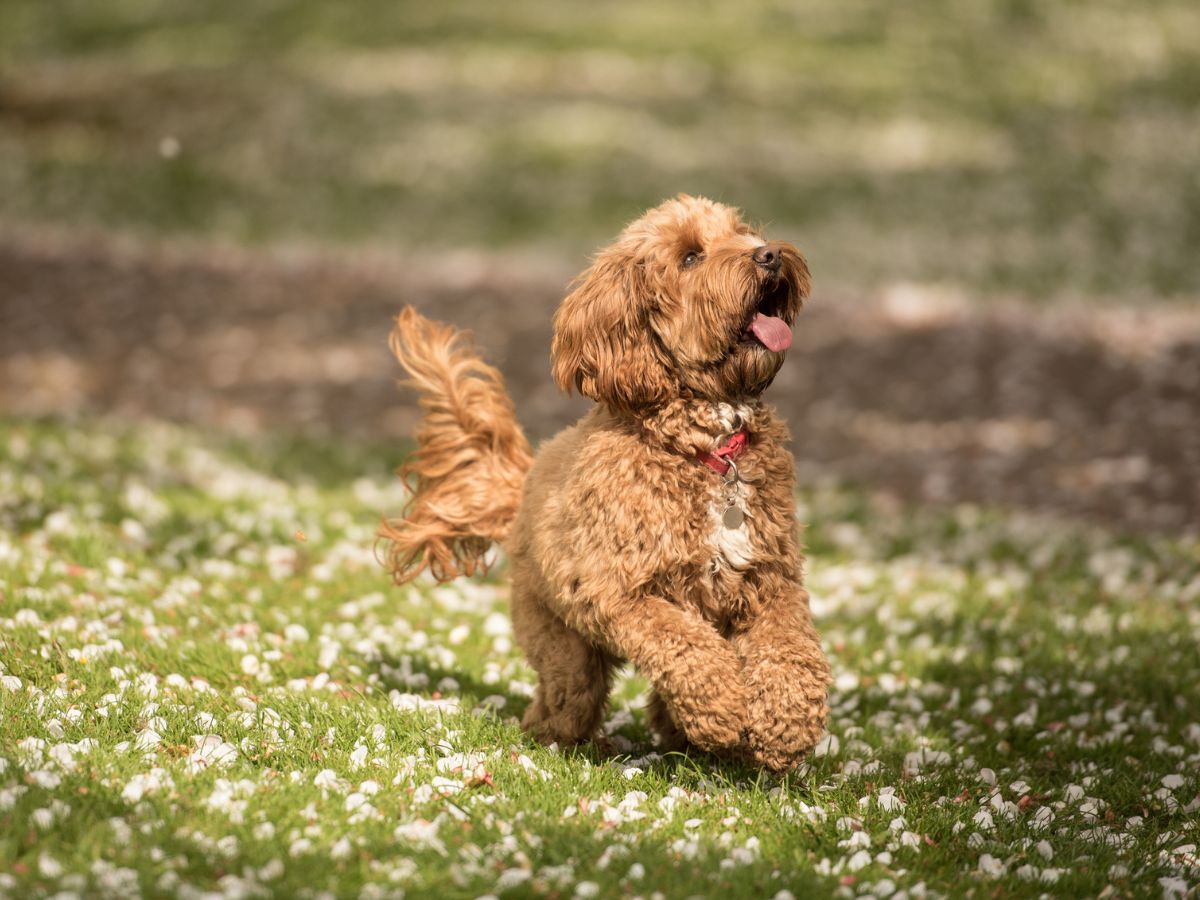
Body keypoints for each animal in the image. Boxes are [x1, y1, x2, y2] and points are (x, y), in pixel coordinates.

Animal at [379, 194, 830, 772]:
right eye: (690, 257)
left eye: (744, 232)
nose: (769, 254)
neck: (706, 450)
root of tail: (526, 486)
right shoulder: (615, 590)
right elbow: (684, 642)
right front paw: (725, 704)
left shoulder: (772, 579)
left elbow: (791, 646)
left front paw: (786, 724)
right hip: (560, 641)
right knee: (564, 700)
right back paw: (579, 740)